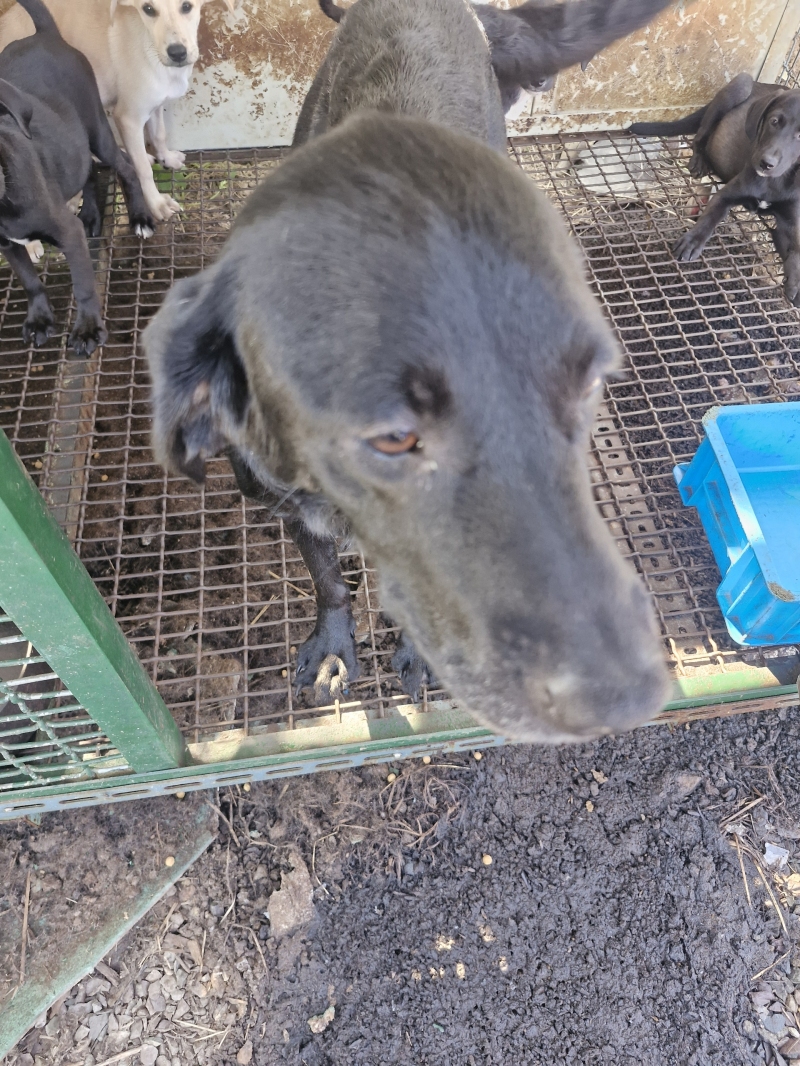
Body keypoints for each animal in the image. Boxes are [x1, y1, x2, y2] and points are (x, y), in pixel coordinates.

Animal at [0, 0, 154, 356]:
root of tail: (44, 35)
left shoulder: (67, 233)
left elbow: (83, 284)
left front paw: (87, 329)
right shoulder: (7, 245)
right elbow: (29, 281)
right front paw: (39, 320)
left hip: (96, 127)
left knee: (126, 167)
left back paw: (139, 218)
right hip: (75, 138)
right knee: (87, 169)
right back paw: (92, 216)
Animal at [0, 0, 236, 224]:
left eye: (187, 6)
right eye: (148, 9)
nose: (177, 53)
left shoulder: (155, 105)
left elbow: (159, 135)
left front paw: (166, 158)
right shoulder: (128, 118)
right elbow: (143, 170)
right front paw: (156, 203)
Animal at [630, 75, 800, 305]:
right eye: (774, 121)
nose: (766, 163)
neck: (776, 182)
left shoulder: (789, 223)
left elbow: (795, 253)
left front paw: (795, 286)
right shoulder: (727, 195)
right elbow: (710, 217)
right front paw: (692, 242)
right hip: (739, 85)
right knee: (699, 136)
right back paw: (699, 160)